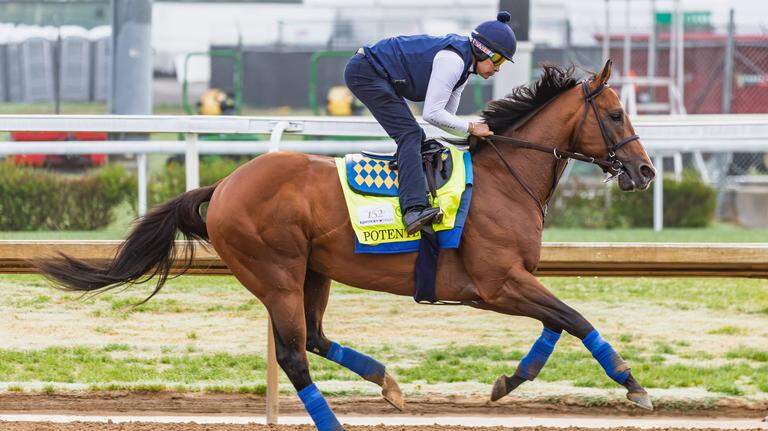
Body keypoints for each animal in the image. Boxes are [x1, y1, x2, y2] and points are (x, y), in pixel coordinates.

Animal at [37, 60, 656, 430]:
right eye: (615, 113)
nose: (645, 170)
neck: (506, 179)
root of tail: (224, 184)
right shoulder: (495, 283)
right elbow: (575, 318)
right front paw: (633, 384)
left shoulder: (513, 280)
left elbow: (557, 322)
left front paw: (508, 382)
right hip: (277, 274)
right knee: (292, 354)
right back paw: (335, 418)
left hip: (314, 272)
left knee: (313, 338)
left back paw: (388, 384)